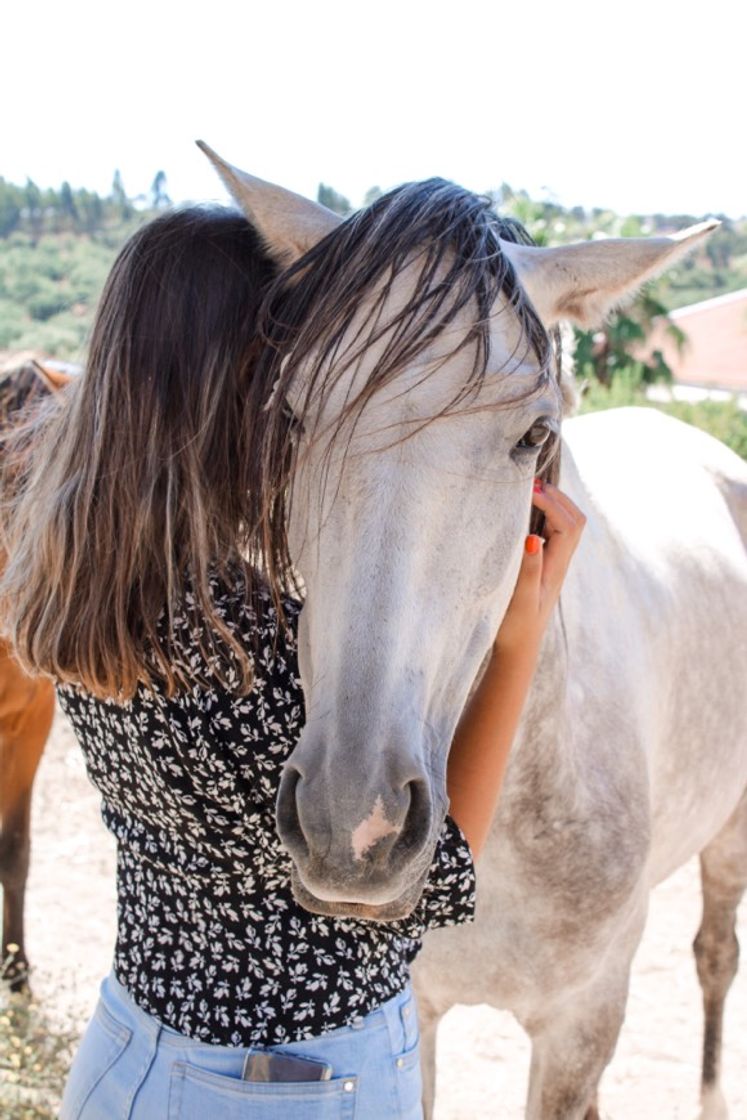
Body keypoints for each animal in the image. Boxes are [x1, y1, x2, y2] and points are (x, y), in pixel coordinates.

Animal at [201, 143, 747, 1119]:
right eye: (292, 415)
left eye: (534, 433)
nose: (353, 823)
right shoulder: (409, 1014)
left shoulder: (581, 1023)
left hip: (730, 839)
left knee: (715, 957)